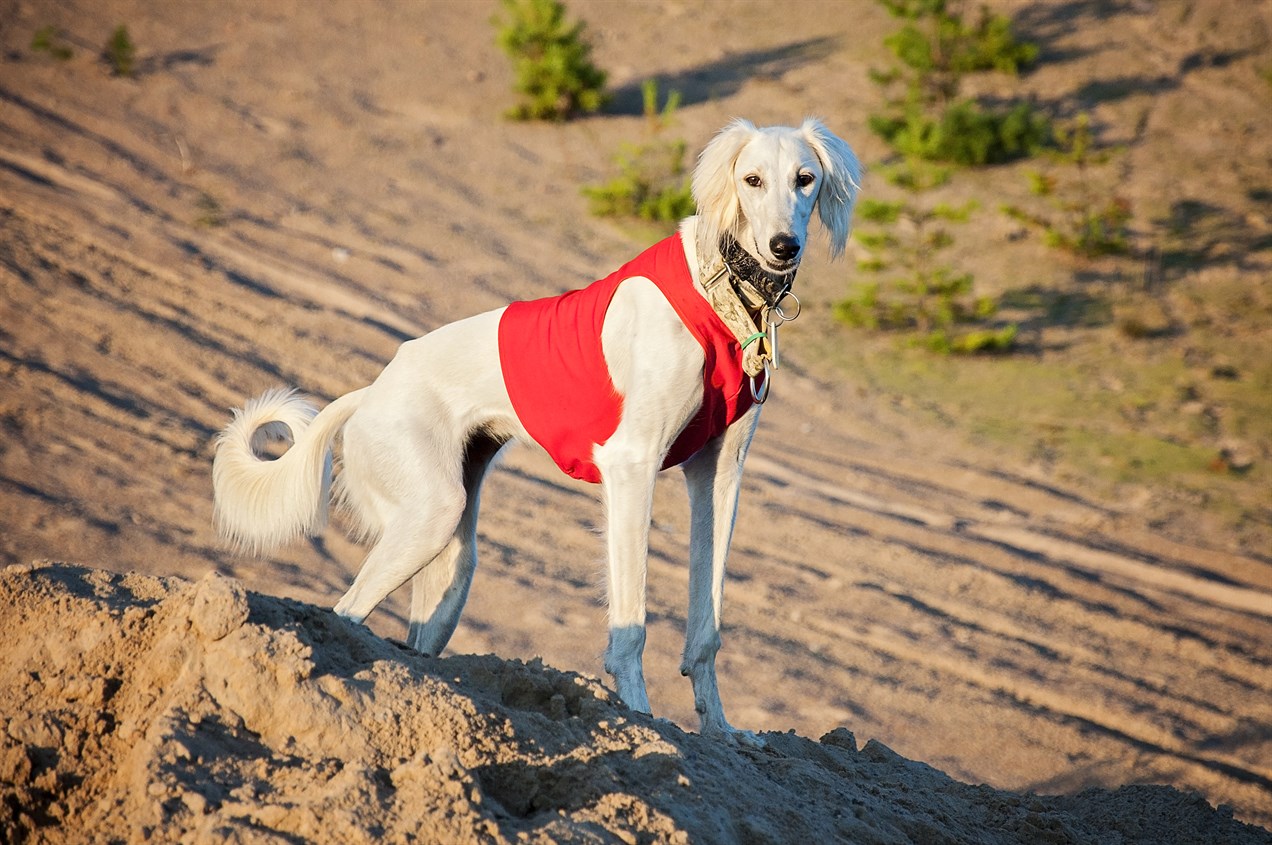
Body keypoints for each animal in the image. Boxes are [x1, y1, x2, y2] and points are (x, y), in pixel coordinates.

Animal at [213, 117, 859, 738]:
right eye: (752, 180)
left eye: (805, 179)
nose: (783, 247)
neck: (719, 286)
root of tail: (371, 391)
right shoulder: (631, 465)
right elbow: (630, 626)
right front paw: (642, 721)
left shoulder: (719, 476)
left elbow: (707, 627)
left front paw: (720, 729)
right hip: (430, 513)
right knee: (345, 610)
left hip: (451, 560)